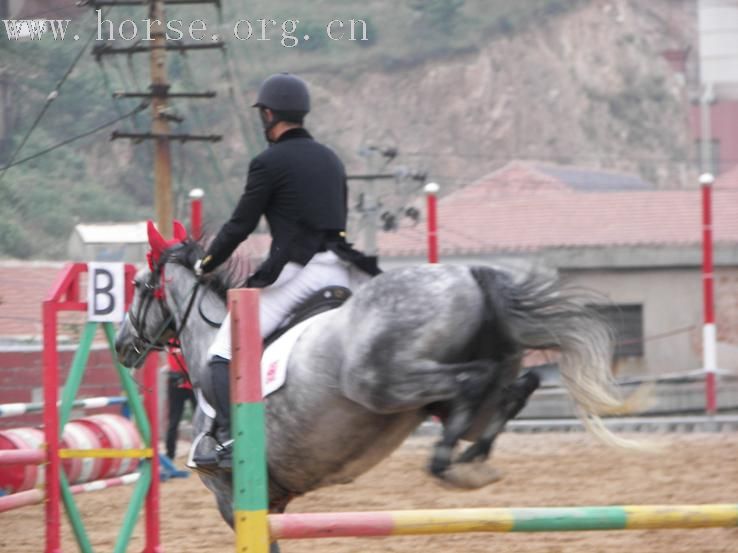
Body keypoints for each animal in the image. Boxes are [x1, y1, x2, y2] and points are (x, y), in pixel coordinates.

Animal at [115, 236, 632, 540]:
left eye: (138, 285)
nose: (121, 346)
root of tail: (469, 275)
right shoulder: (271, 501)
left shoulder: (231, 497)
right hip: (466, 387)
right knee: (512, 389)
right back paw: (471, 459)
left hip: (383, 383)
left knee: (473, 379)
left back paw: (448, 464)